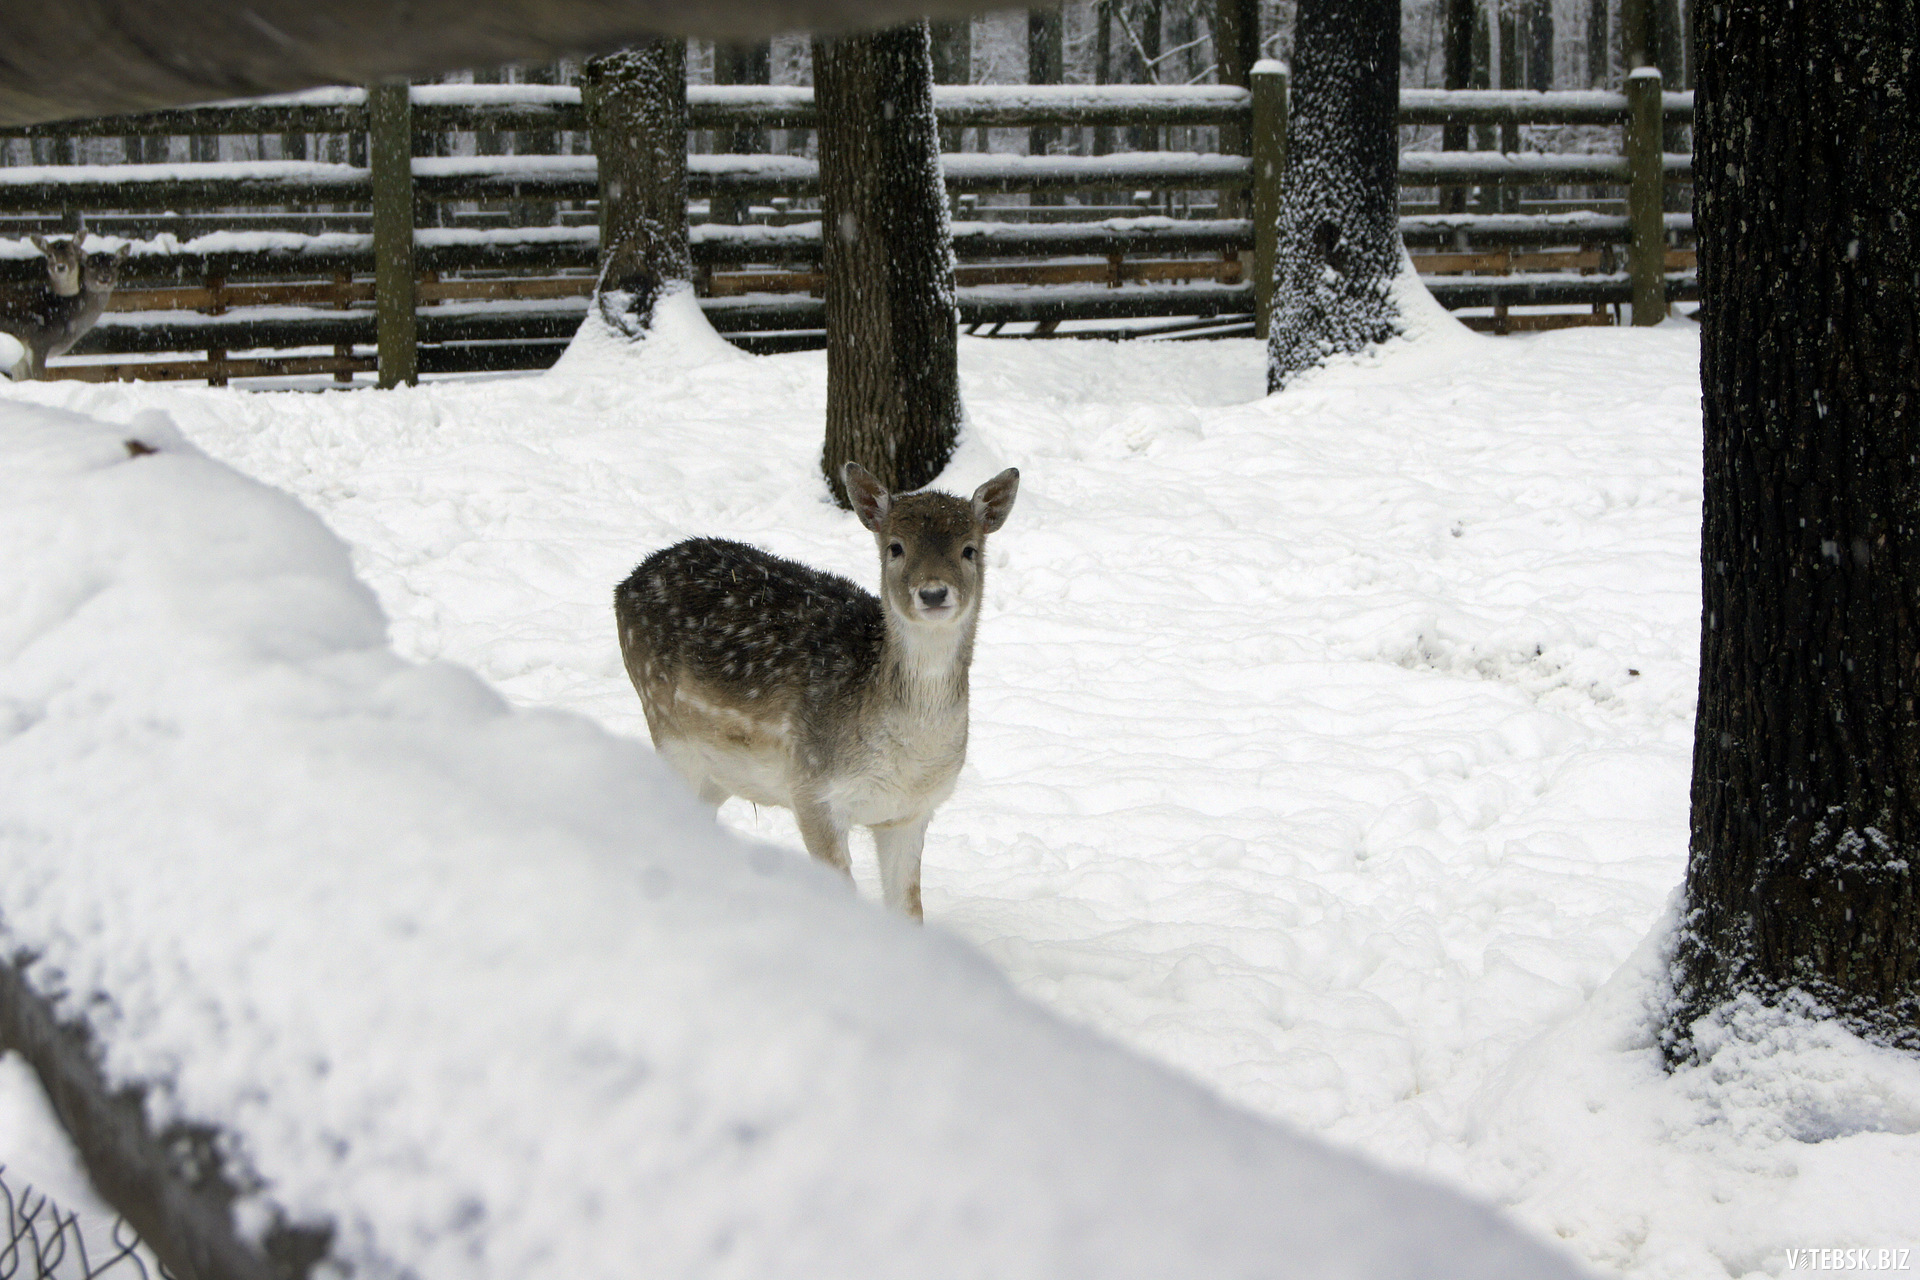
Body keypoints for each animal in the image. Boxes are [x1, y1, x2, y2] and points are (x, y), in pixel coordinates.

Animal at [622, 462, 1029, 921]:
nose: (933, 592)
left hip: (719, 771)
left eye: (969, 549)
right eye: (895, 547)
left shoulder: (911, 813)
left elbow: (909, 910)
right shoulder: (812, 789)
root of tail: (624, 584)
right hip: (667, 728)